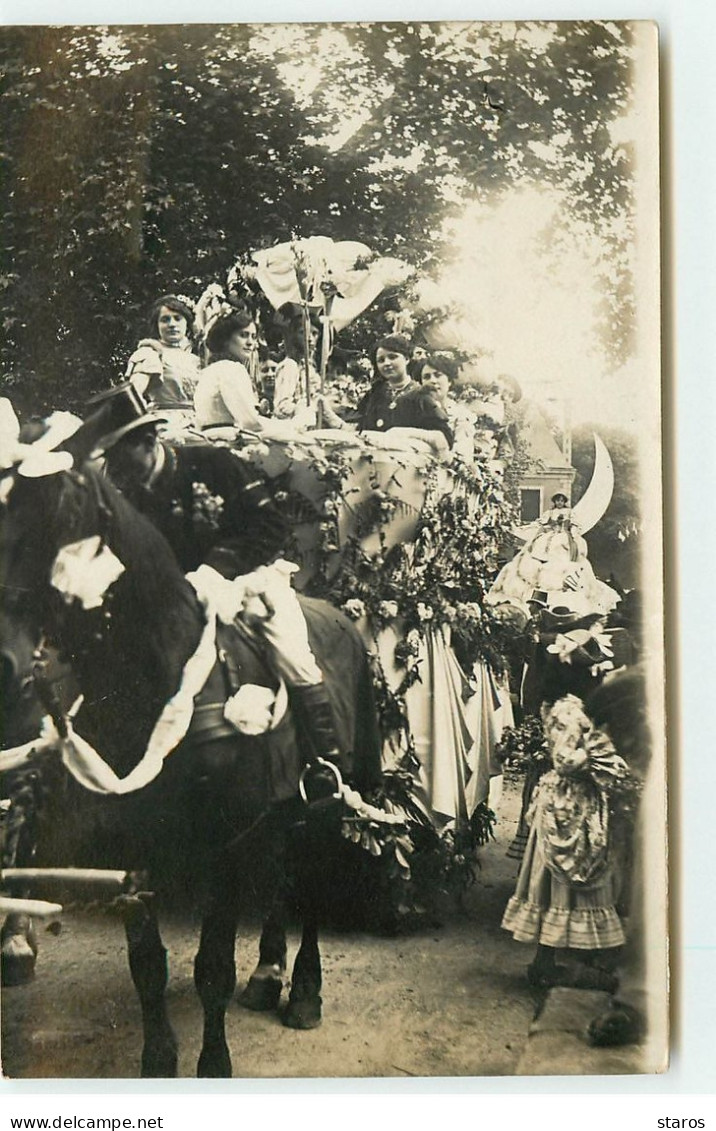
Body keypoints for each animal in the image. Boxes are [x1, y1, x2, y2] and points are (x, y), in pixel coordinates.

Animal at [0, 461, 382, 1076]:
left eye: (57, 510)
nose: (7, 665)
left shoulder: (221, 848)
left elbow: (212, 970)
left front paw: (214, 1062)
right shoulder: (135, 852)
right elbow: (147, 966)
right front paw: (159, 1057)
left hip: (327, 808)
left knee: (311, 888)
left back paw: (304, 991)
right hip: (276, 814)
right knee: (280, 877)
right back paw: (268, 972)